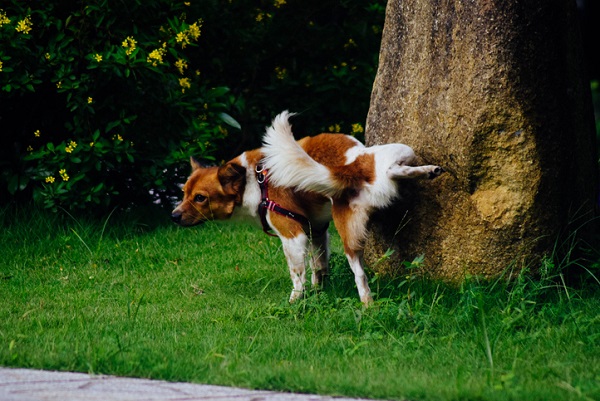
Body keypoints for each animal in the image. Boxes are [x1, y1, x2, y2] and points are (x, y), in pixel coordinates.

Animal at [171, 111, 442, 304]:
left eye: (200, 198)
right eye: (183, 194)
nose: (173, 216)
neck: (254, 179)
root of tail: (348, 169)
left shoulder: (293, 234)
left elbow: (298, 275)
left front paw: (296, 302)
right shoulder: (317, 230)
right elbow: (318, 267)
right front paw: (320, 291)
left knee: (357, 276)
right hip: (394, 155)